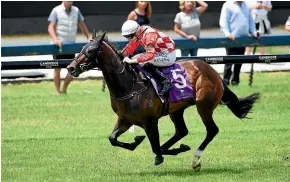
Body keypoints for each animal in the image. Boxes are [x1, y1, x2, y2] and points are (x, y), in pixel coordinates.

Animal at [67, 31, 260, 171]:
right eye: (82, 47)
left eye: (90, 50)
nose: (70, 67)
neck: (128, 85)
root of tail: (213, 72)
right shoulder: (125, 119)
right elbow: (113, 138)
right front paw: (137, 141)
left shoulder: (150, 121)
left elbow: (155, 147)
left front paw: (163, 153)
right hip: (177, 110)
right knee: (181, 131)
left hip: (204, 106)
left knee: (212, 130)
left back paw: (196, 159)